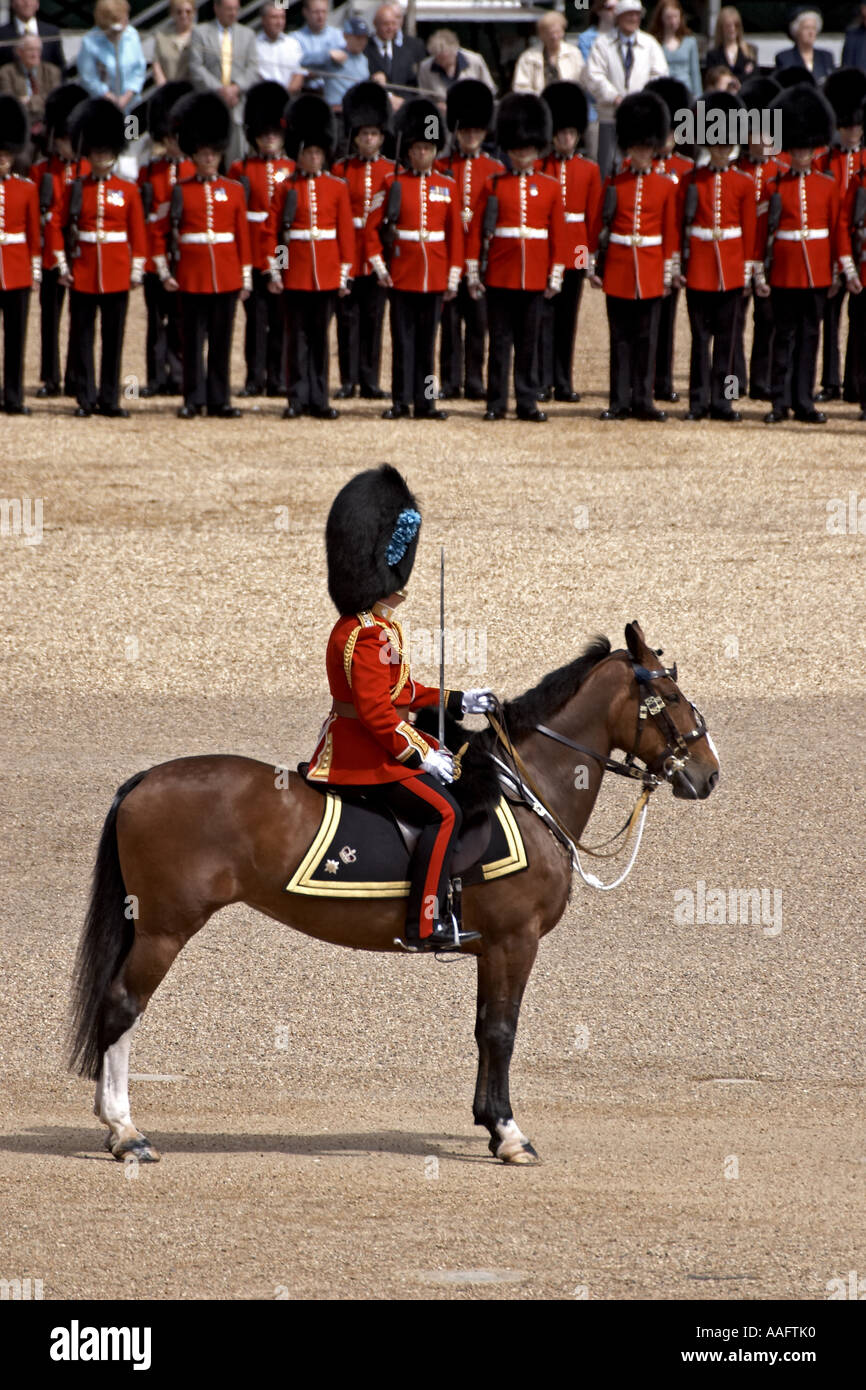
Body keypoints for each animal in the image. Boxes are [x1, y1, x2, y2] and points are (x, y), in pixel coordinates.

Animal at [68, 620, 719, 1166]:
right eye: (672, 698)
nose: (709, 774)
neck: (526, 790)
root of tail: (145, 780)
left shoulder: (491, 947)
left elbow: (484, 1029)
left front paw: (489, 1123)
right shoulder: (515, 940)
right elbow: (501, 1030)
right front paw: (509, 1134)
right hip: (165, 927)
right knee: (123, 1005)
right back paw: (125, 1132)